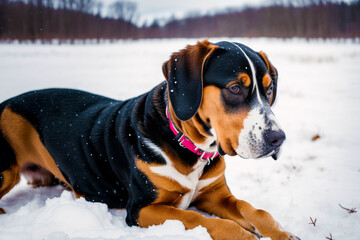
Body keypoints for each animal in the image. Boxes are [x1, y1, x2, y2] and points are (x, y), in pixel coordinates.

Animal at [0, 40, 298, 239]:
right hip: (7, 171)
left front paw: (281, 233)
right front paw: (244, 235)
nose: (278, 138)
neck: (190, 147)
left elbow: (254, 210)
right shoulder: (143, 208)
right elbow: (197, 218)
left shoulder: (217, 197)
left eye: (269, 89)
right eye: (235, 88)